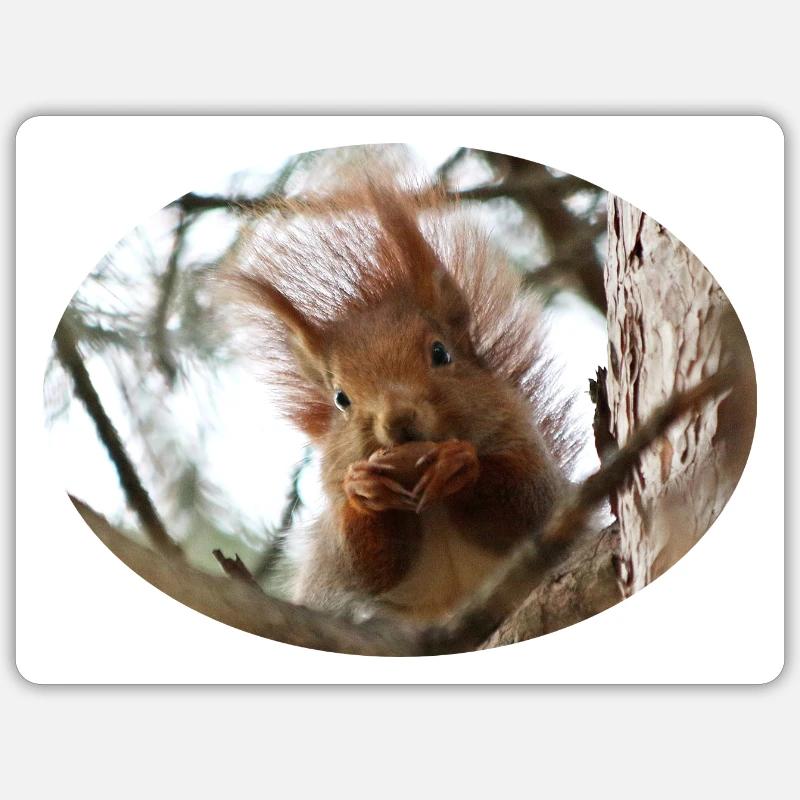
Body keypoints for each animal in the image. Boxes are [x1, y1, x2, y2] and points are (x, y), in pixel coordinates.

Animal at [225, 165, 580, 621]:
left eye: (440, 353)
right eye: (341, 399)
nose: (397, 420)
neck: (435, 510)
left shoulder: (529, 455)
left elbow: (530, 504)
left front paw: (459, 464)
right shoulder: (336, 541)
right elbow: (362, 564)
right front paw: (363, 488)